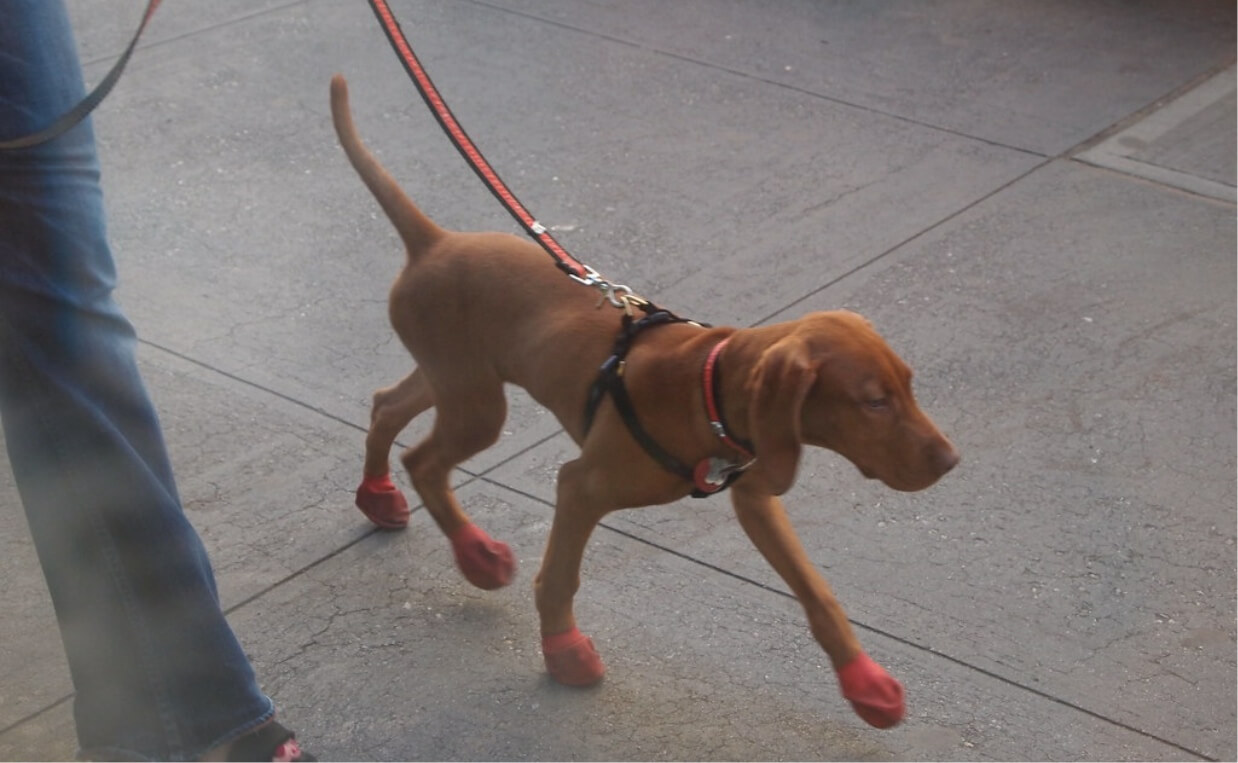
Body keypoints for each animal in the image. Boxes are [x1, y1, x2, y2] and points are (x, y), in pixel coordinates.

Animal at [329, 74, 955, 728]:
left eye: (909, 386)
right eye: (874, 402)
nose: (950, 461)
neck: (708, 387)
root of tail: (435, 241)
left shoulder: (756, 490)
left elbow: (817, 591)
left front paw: (864, 681)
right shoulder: (581, 486)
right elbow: (560, 578)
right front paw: (564, 652)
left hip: (457, 375)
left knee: (387, 406)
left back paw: (378, 496)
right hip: (475, 401)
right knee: (425, 459)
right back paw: (475, 553)